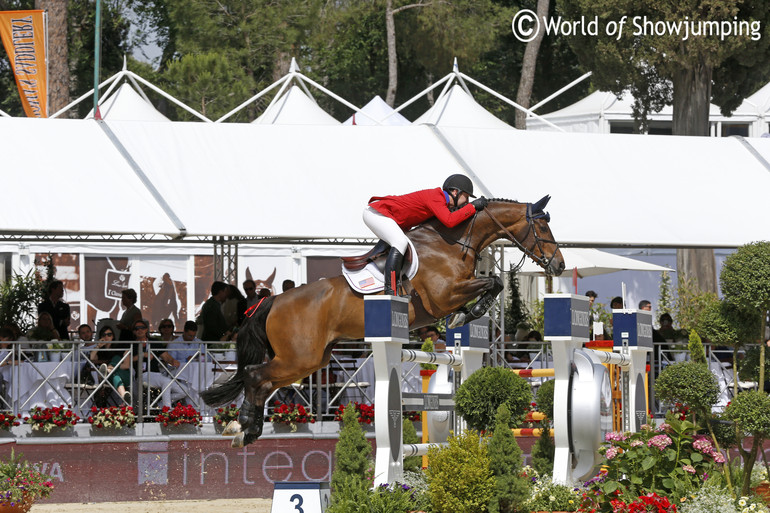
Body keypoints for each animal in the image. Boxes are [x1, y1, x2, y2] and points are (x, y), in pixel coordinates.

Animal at [200, 194, 564, 446]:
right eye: (542, 226)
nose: (559, 265)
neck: (451, 243)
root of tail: (273, 300)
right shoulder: (444, 295)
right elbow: (494, 283)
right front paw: (469, 312)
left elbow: (494, 283)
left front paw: (468, 313)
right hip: (298, 356)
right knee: (254, 375)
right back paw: (242, 427)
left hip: (311, 359)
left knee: (261, 381)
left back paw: (247, 430)